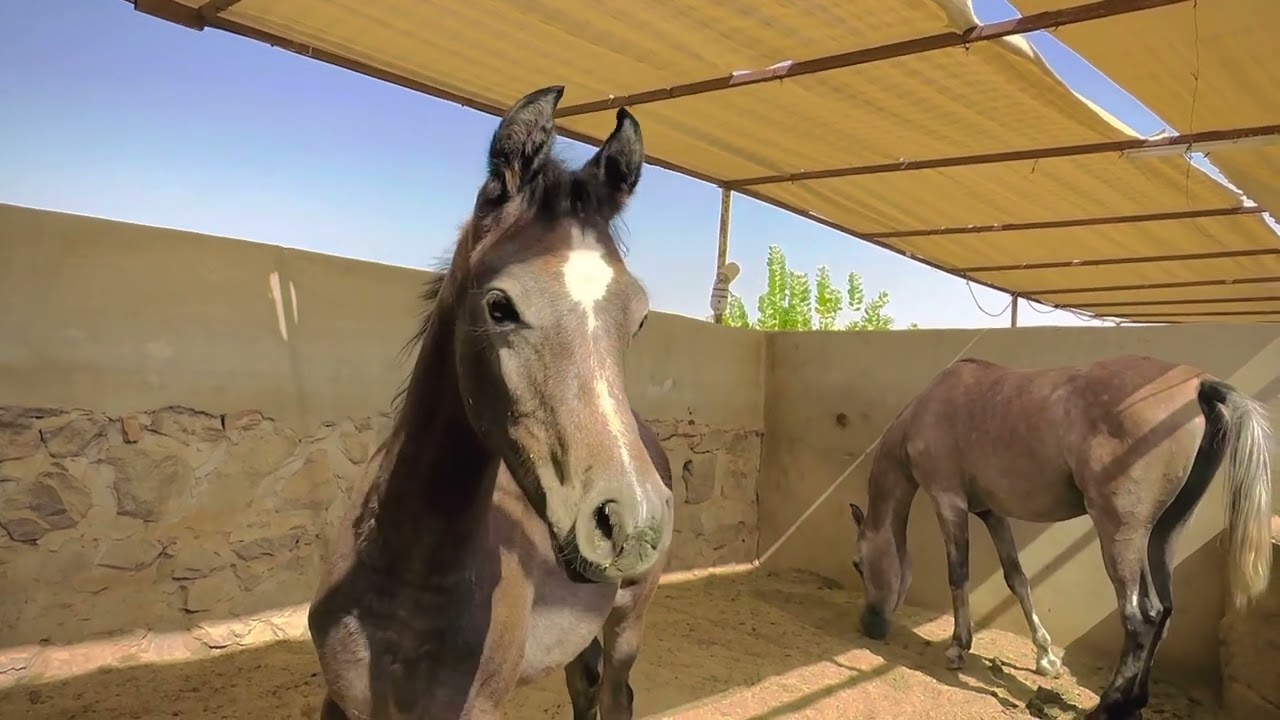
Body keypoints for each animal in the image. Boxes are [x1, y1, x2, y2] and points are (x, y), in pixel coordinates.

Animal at [307, 86, 676, 719]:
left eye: (640, 317)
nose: (631, 520)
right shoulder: (342, 701)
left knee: (616, 692)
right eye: (500, 306)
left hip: (629, 615)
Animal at [847, 354, 1272, 720]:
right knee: (1164, 612)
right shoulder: (992, 512)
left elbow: (958, 574)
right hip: (1164, 534)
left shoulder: (948, 500)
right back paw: (1134, 703)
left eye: (858, 564)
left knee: (1140, 619)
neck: (930, 407)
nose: (870, 625)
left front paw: (957, 648)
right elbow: (1017, 578)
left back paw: (1106, 707)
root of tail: (1198, 385)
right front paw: (1045, 658)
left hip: (1120, 535)